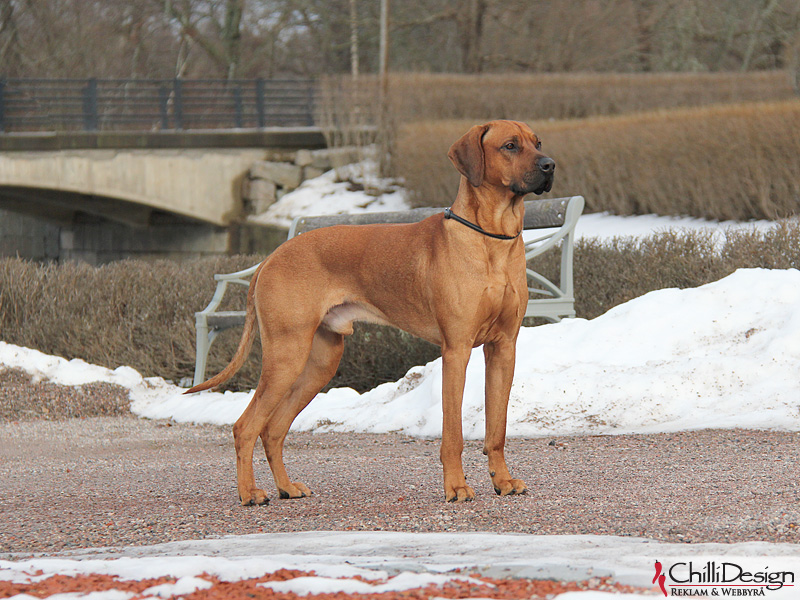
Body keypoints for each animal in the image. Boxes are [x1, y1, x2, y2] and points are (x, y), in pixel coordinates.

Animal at [186, 122, 556, 506]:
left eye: (537, 142)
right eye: (510, 146)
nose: (550, 165)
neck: (491, 239)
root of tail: (271, 256)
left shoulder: (503, 348)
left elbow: (497, 430)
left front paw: (504, 480)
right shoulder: (457, 350)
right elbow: (452, 433)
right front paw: (455, 487)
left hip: (320, 362)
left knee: (272, 429)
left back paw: (287, 487)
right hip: (288, 354)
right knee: (245, 426)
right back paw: (249, 493)